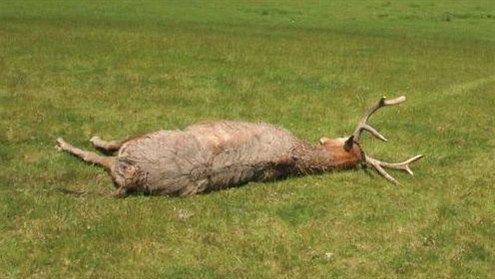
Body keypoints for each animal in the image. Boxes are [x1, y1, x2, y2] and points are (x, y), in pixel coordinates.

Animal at [56, 96, 424, 197]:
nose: (324, 135)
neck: (296, 153)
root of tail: (133, 175)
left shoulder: (202, 122)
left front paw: (90, 138)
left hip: (147, 141)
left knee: (106, 153)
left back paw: (68, 141)